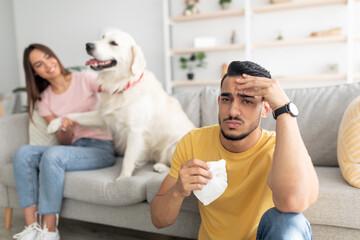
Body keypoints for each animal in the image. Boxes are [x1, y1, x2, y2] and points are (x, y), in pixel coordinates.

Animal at [48, 30, 195, 179]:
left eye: (113, 43)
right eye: (102, 37)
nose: (88, 45)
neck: (120, 85)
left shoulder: (135, 131)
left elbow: (128, 159)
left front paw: (122, 179)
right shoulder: (105, 117)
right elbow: (76, 115)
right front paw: (55, 124)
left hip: (175, 144)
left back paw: (161, 167)